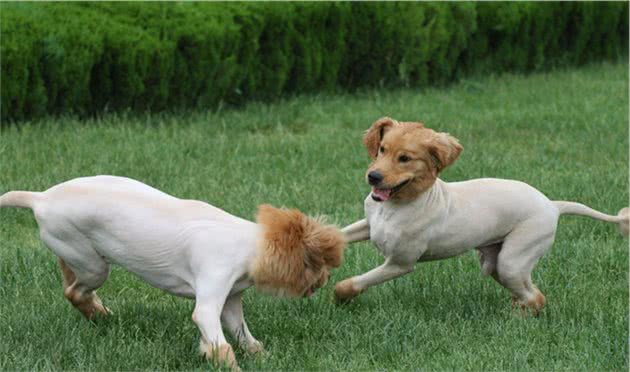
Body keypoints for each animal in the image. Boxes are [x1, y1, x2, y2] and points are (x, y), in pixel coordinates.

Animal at [0, 177, 346, 370]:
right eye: (318, 266)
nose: (326, 281)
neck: (249, 244)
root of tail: (40, 198)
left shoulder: (231, 300)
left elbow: (243, 335)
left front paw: (261, 357)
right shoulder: (212, 289)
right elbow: (220, 341)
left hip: (82, 256)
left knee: (68, 275)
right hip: (93, 265)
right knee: (74, 291)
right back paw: (99, 314)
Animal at [334, 117, 628, 314]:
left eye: (405, 158)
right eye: (382, 149)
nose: (373, 177)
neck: (396, 206)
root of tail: (552, 205)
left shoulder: (400, 263)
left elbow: (355, 282)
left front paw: (340, 296)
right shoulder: (368, 225)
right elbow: (341, 235)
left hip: (513, 259)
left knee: (537, 298)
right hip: (501, 262)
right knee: (532, 291)